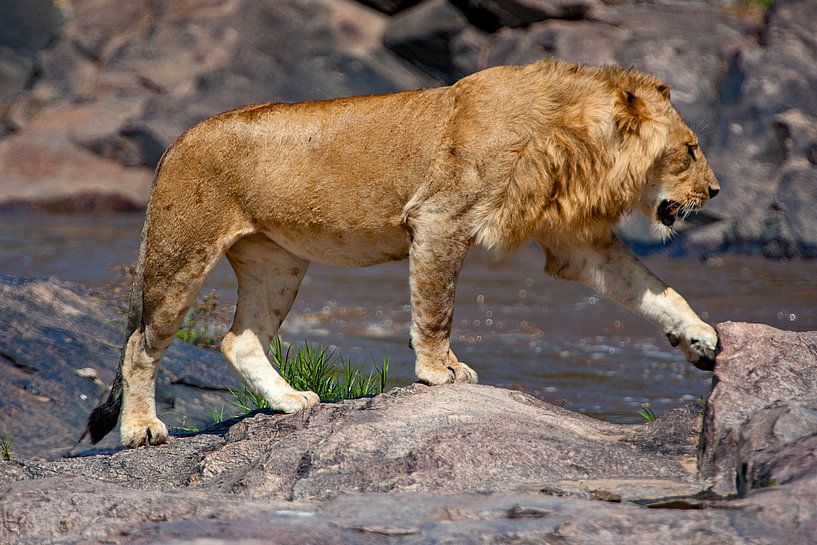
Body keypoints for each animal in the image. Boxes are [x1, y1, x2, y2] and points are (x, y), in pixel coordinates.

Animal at [87, 58, 720, 447]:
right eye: (690, 150)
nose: (714, 192)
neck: (574, 147)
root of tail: (176, 140)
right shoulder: (439, 219)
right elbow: (436, 309)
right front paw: (442, 373)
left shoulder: (576, 242)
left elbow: (654, 289)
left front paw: (702, 339)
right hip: (181, 255)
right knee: (140, 345)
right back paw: (142, 430)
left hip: (277, 263)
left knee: (239, 339)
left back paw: (291, 402)